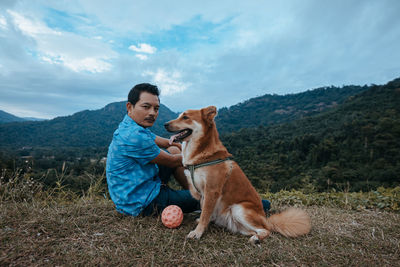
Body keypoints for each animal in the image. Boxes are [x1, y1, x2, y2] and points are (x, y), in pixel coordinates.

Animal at [164, 107, 310, 245]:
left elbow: (205, 212)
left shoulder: (211, 190)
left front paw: (198, 232)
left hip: (239, 209)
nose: (165, 124)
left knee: (266, 230)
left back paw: (256, 239)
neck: (203, 154)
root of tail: (266, 220)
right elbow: (204, 209)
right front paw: (202, 222)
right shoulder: (203, 193)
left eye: (185, 117)